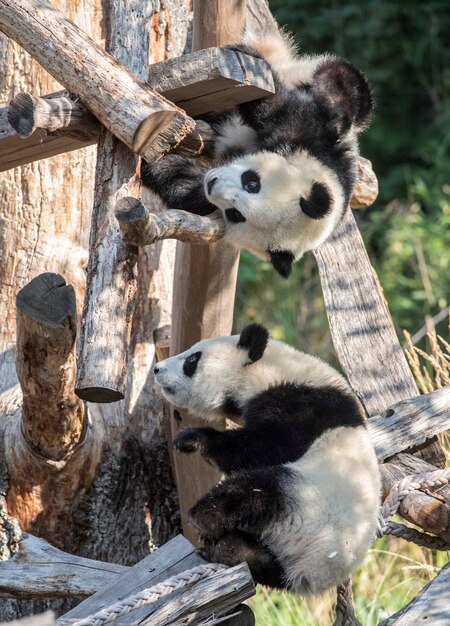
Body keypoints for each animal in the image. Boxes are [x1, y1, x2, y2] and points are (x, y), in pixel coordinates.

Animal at [142, 26, 374, 276]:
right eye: (252, 183)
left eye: (236, 214)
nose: (212, 182)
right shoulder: (311, 141)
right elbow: (273, 104)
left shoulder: (205, 202)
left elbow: (180, 184)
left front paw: (150, 163)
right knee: (342, 80)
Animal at [154, 324, 380, 592]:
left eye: (192, 359)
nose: (157, 369)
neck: (270, 369)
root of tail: (311, 571)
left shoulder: (301, 405)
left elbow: (263, 447)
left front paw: (192, 438)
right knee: (265, 564)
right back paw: (232, 550)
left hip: (308, 502)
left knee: (255, 490)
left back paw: (204, 520)